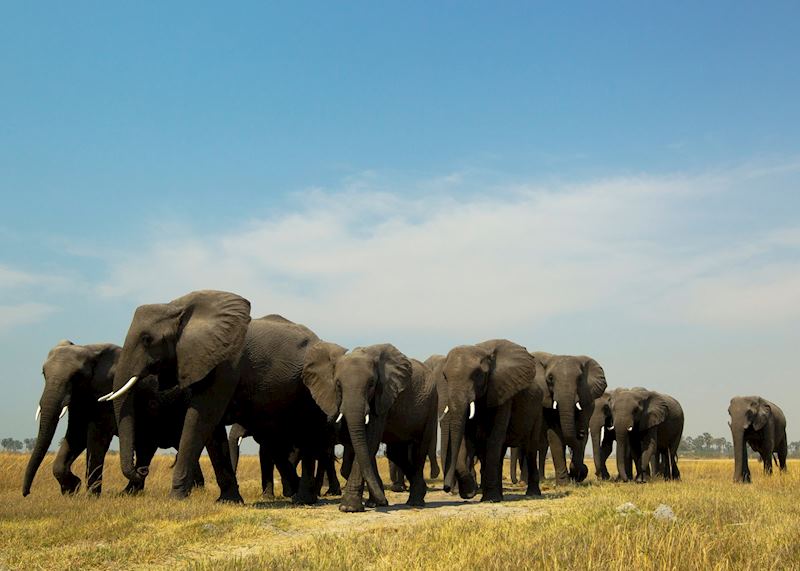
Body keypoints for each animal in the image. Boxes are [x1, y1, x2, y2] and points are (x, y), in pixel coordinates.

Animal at [24, 340, 205, 497]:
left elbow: (97, 436)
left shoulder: (107, 392)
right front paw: (71, 490)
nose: (26, 493)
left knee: (151, 447)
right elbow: (76, 434)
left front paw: (91, 496)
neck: (89, 349)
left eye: (76, 376)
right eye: (43, 374)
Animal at [303, 343, 438, 512]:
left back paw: (415, 501)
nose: (385, 501)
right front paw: (374, 503)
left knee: (420, 448)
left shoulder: (383, 396)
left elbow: (369, 440)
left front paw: (349, 508)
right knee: (395, 453)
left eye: (371, 384)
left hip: (431, 404)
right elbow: (362, 445)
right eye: (338, 385)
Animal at [440, 339, 542, 502]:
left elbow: (494, 438)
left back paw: (532, 494)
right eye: (445, 376)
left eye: (477, 374)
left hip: (537, 410)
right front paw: (471, 492)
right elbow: (466, 439)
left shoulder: (502, 391)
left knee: (531, 449)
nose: (447, 488)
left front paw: (488, 498)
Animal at [533, 352, 606, 485]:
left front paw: (577, 474)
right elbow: (554, 436)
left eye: (579, 378)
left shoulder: (585, 403)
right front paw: (564, 484)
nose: (580, 433)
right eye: (550, 378)